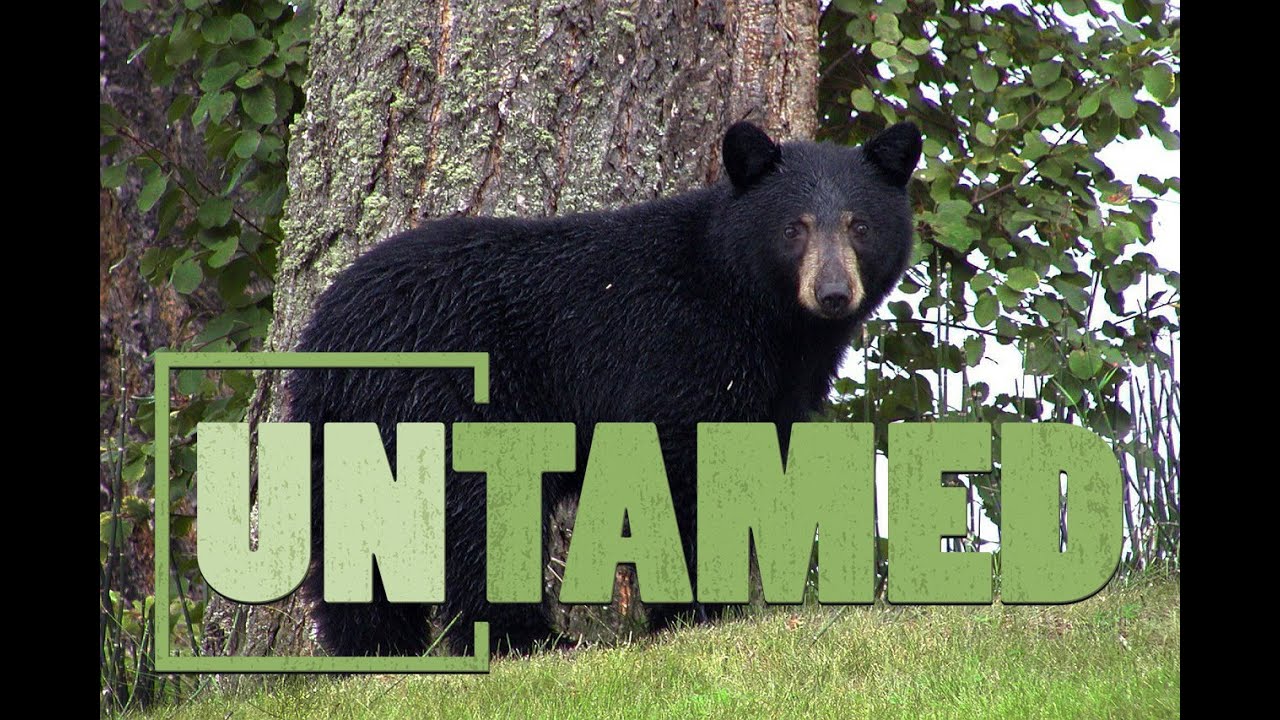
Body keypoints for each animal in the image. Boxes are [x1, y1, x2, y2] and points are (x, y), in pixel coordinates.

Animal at [286, 120, 923, 657]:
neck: (757, 313)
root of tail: (326, 332)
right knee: (475, 517)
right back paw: (530, 640)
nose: (834, 293)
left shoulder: (777, 391)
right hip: (443, 402)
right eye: (794, 228)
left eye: (859, 226)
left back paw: (377, 650)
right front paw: (697, 614)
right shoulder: (678, 352)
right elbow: (682, 475)